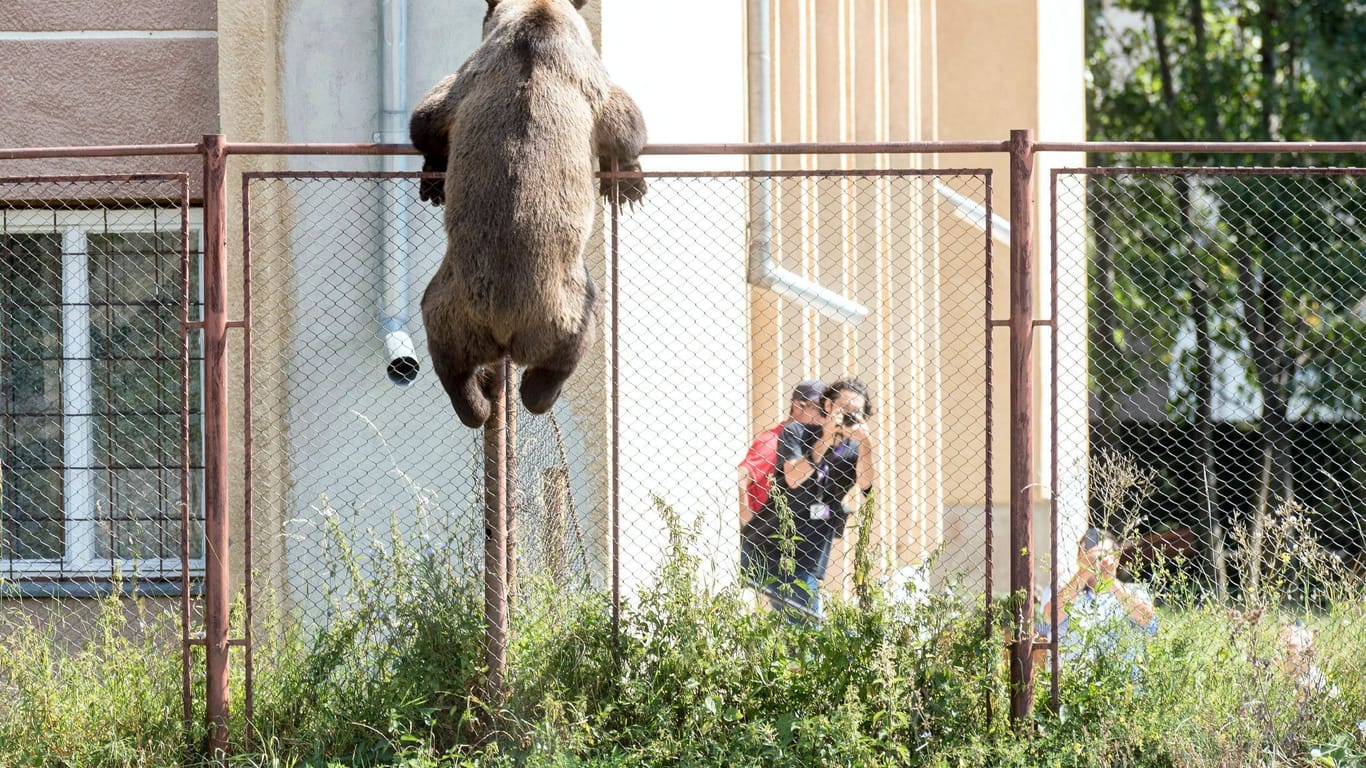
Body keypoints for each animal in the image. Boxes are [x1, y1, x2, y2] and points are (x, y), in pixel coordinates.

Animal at [407, 0, 647, 426]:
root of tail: (502, 328)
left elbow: (428, 123)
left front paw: (433, 182)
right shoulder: (582, 76)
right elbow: (624, 121)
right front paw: (630, 182)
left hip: (449, 303)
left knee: (449, 360)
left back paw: (477, 400)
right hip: (561, 306)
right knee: (574, 340)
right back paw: (538, 391)